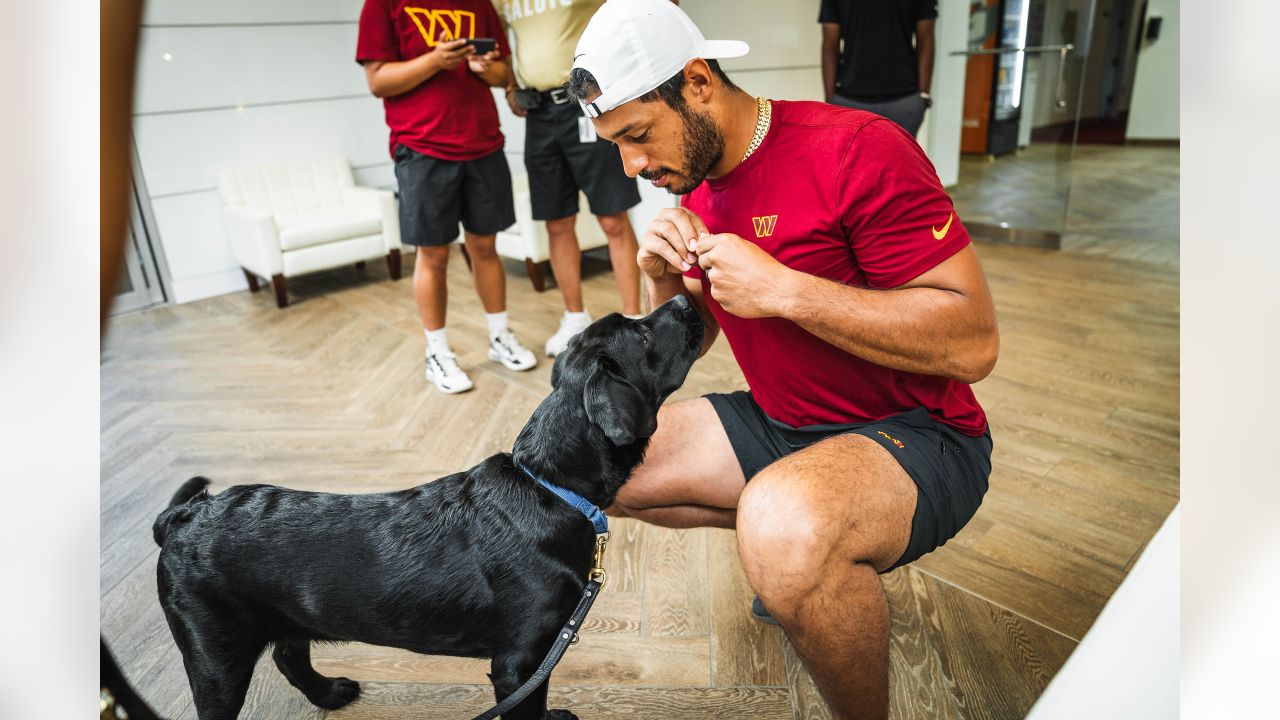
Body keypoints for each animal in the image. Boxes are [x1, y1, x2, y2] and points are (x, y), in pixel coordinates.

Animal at [154, 294, 706, 712]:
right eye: (641, 336)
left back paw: (329, 694)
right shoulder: (521, 663)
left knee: (290, 657)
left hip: (286, 618)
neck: (548, 485)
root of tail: (185, 517)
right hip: (215, 652)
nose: (684, 298)